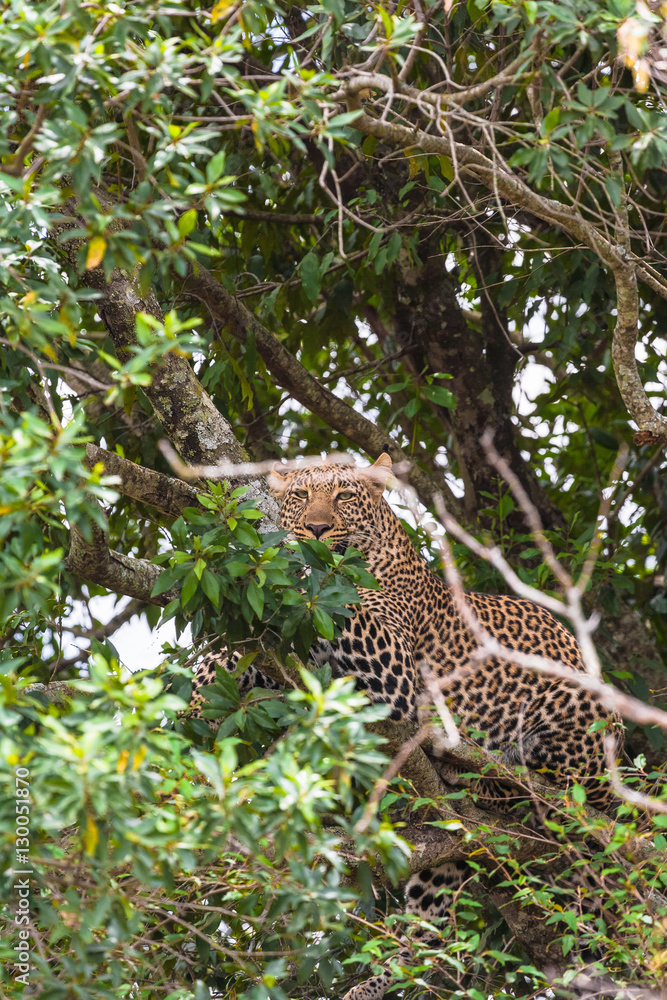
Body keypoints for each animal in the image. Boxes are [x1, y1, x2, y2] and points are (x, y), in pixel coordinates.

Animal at [189, 453, 623, 1000]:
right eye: (300, 496)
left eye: (345, 496)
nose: (315, 528)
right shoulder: (300, 646)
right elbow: (235, 655)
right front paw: (192, 700)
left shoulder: (392, 667)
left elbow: (339, 601)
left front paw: (297, 564)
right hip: (445, 862)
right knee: (423, 932)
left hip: (574, 716)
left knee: (545, 790)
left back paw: (479, 775)